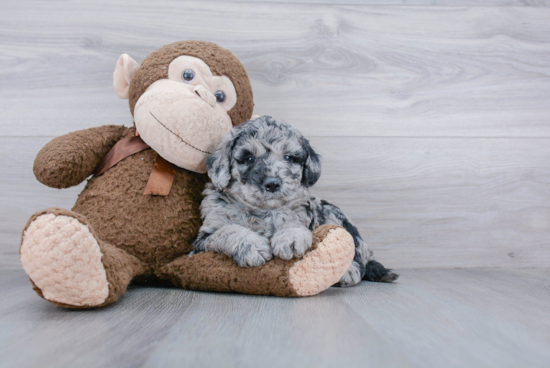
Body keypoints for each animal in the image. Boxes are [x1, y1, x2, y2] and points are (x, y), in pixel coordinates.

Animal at [196, 116, 398, 286]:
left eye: (289, 157)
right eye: (249, 158)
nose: (272, 183)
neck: (264, 211)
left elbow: (291, 221)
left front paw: (291, 237)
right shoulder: (202, 241)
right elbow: (229, 230)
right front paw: (252, 246)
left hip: (333, 211)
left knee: (358, 257)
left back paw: (348, 272)